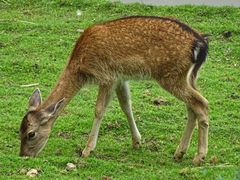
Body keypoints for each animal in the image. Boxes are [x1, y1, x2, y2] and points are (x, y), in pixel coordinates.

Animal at [19, 16, 209, 165]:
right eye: (18, 131)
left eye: (31, 134)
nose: (23, 155)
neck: (80, 65)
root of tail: (200, 44)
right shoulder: (120, 78)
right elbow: (126, 106)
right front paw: (137, 142)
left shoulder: (107, 76)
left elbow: (99, 110)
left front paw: (87, 150)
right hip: (190, 77)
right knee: (192, 107)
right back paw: (179, 153)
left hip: (171, 75)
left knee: (202, 104)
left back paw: (199, 157)